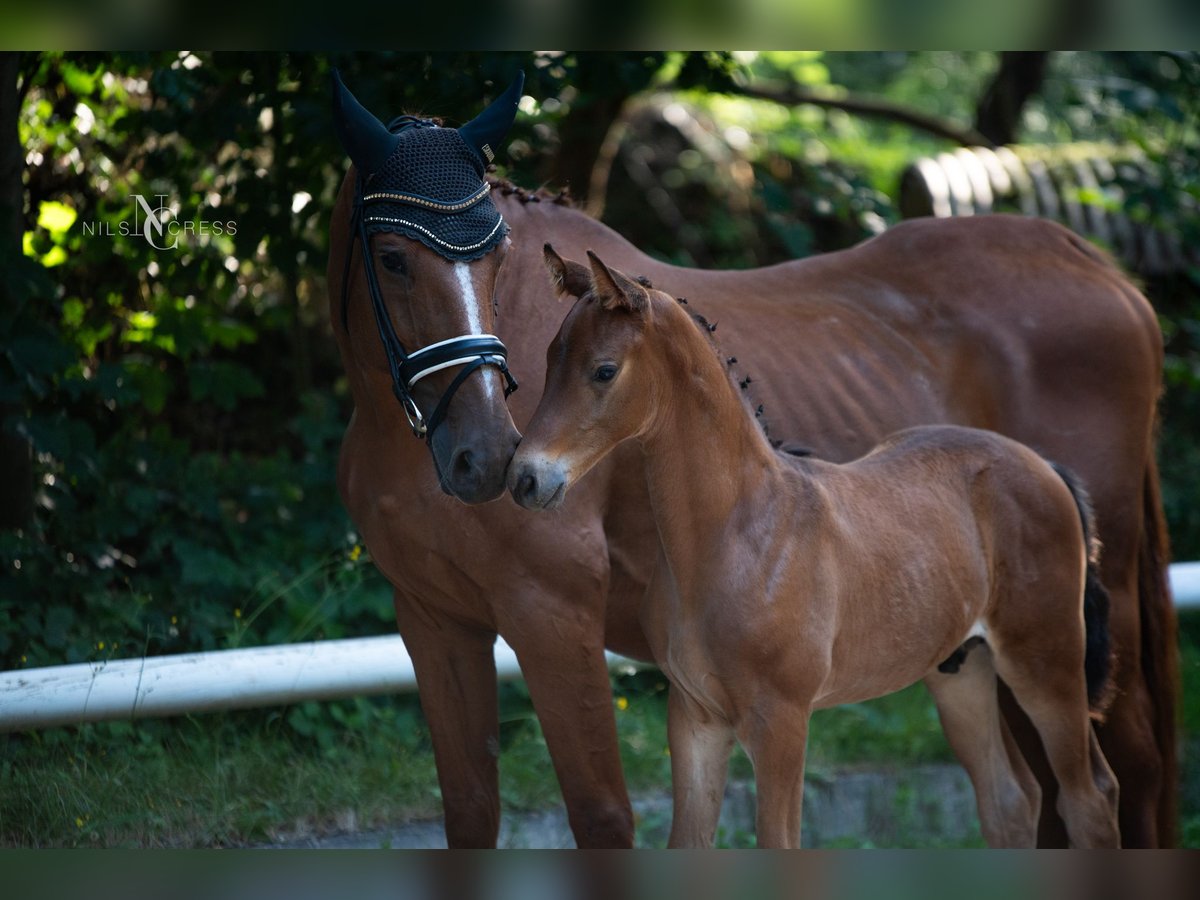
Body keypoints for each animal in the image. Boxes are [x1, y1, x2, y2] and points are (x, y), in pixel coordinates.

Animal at [511, 248, 1118, 854]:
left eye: (604, 370)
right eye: (548, 358)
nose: (524, 478)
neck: (734, 536)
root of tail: (1044, 466)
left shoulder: (782, 720)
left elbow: (780, 842)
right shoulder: (694, 718)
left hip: (1046, 662)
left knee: (1089, 797)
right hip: (961, 670)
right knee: (1011, 800)